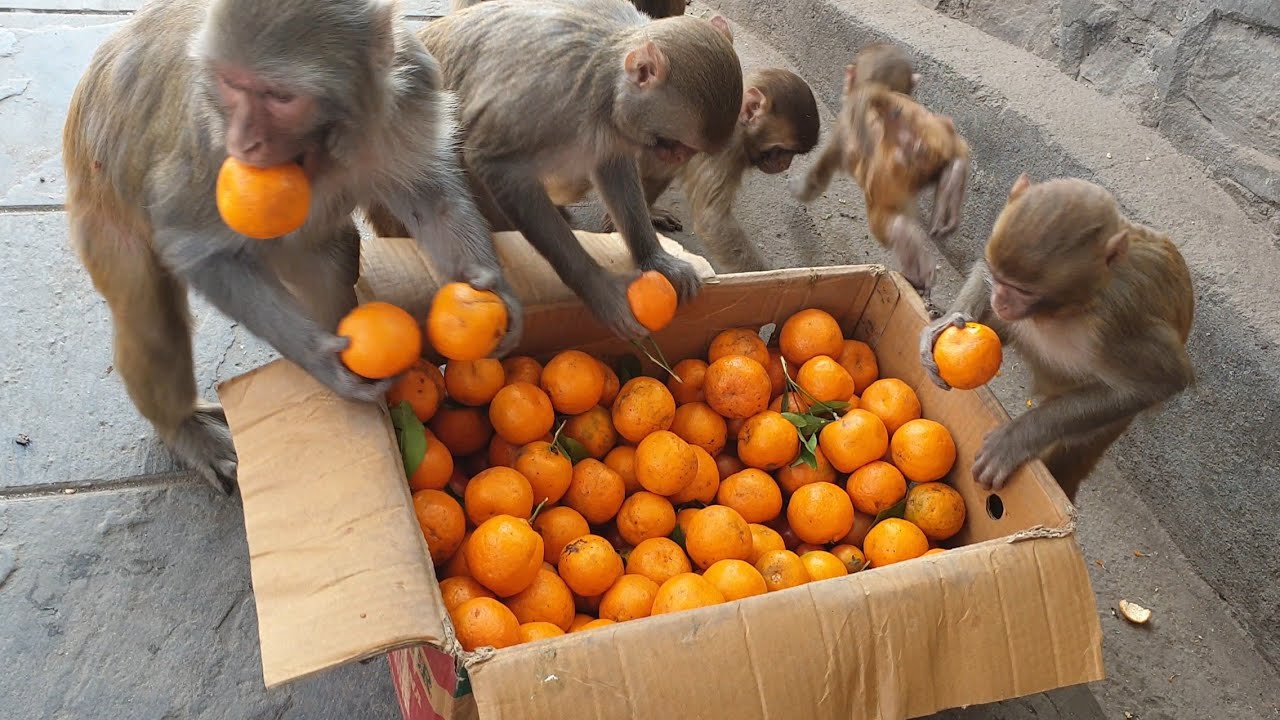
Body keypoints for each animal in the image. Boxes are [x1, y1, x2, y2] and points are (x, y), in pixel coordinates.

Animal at [62, 0, 518, 495]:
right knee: (152, 321)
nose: (244, 142)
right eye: (231, 85)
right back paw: (181, 425)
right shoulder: (208, 142)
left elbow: (428, 197)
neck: (325, 144)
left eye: (280, 98)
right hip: (101, 202)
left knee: (333, 258)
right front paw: (326, 363)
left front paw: (491, 291)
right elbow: (199, 251)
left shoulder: (412, 87)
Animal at [369, 0, 743, 340]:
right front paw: (598, 289)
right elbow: (497, 166)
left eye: (688, 149)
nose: (677, 159)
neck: (609, 73)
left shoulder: (613, 122)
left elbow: (611, 162)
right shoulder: (551, 100)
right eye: (670, 143)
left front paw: (655, 257)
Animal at [791, 42, 968, 299]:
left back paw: (920, 273)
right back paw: (951, 190)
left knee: (892, 224)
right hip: (937, 134)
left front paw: (798, 190)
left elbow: (819, 175)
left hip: (892, 176)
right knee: (957, 152)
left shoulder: (844, 123)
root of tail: (884, 96)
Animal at [918, 175, 1195, 501]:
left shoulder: (1118, 322)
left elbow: (1159, 384)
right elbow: (984, 269)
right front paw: (945, 324)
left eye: (1023, 290)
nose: (1000, 300)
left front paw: (1017, 437)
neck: (1071, 306)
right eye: (1000, 280)